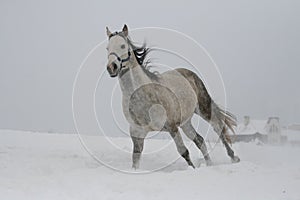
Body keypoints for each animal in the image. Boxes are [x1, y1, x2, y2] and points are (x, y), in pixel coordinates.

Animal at [105, 24, 239, 169]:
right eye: (107, 48)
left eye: (123, 46)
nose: (111, 67)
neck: (142, 96)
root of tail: (189, 72)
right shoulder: (137, 132)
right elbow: (136, 157)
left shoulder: (172, 126)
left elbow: (183, 151)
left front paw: (192, 169)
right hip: (186, 122)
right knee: (200, 140)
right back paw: (209, 164)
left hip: (203, 109)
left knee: (218, 128)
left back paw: (234, 158)